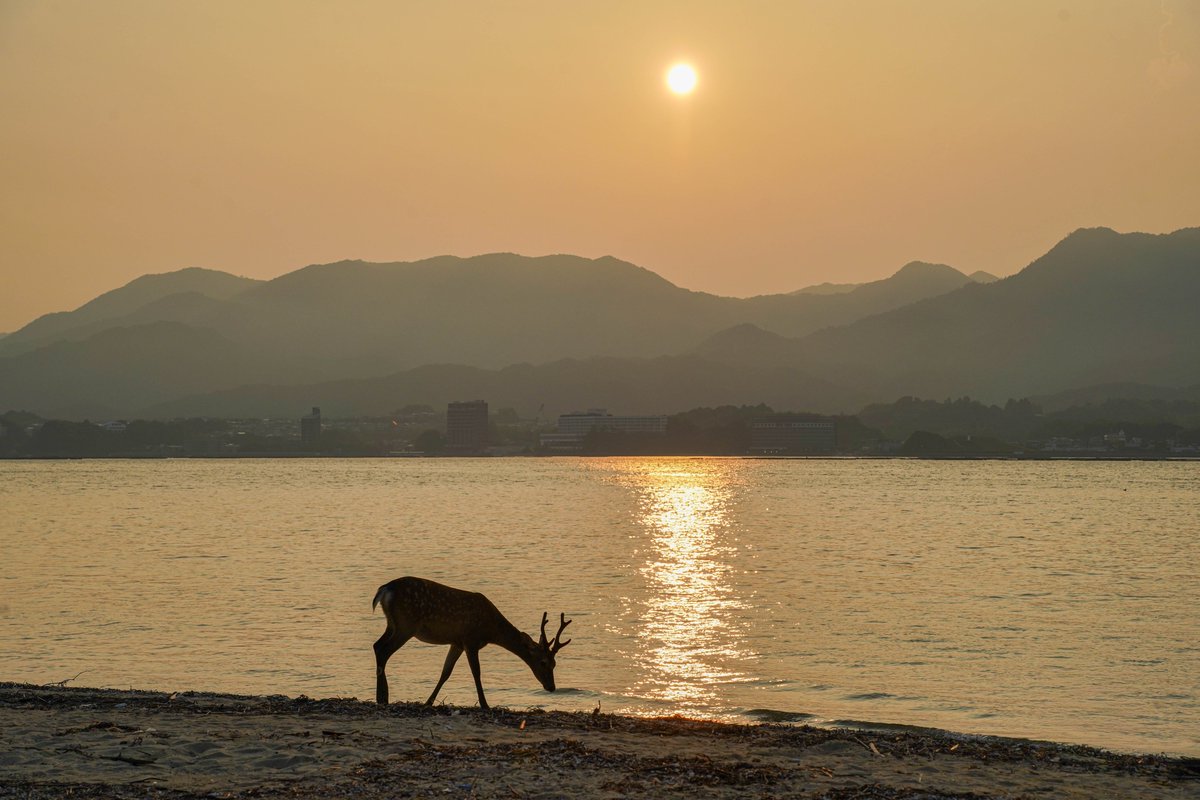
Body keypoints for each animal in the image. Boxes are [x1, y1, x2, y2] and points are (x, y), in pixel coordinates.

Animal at [371, 576, 572, 710]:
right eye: (543, 662)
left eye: (555, 663)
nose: (551, 687)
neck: (491, 630)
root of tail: (385, 589)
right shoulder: (471, 640)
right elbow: (476, 672)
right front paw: (484, 704)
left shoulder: (457, 642)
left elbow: (445, 672)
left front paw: (428, 702)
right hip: (406, 625)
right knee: (383, 650)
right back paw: (382, 697)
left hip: (393, 623)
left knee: (376, 645)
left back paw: (382, 696)